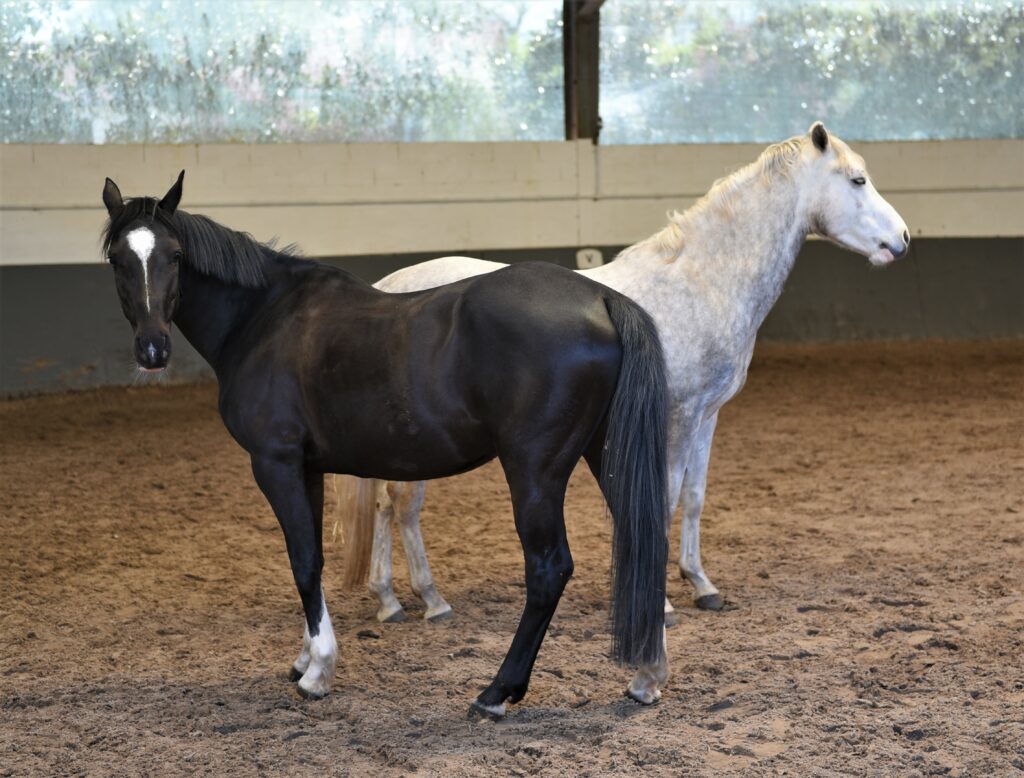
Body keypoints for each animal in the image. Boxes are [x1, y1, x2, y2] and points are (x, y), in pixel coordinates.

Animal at [97, 171, 671, 716]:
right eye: (118, 259)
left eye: (175, 255)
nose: (152, 350)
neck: (263, 318)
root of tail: (601, 298)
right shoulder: (307, 467)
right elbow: (310, 559)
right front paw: (304, 657)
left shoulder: (275, 463)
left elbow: (303, 560)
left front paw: (318, 672)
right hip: (602, 454)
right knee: (645, 541)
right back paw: (646, 678)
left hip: (534, 471)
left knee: (549, 569)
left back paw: (496, 693)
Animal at [337, 124, 913, 630]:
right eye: (857, 180)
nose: (903, 239)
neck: (698, 282)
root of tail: (392, 289)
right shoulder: (676, 417)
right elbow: (663, 500)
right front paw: (662, 605)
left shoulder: (706, 417)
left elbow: (694, 497)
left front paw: (701, 584)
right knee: (403, 505)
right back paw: (428, 600)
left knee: (387, 504)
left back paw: (391, 599)